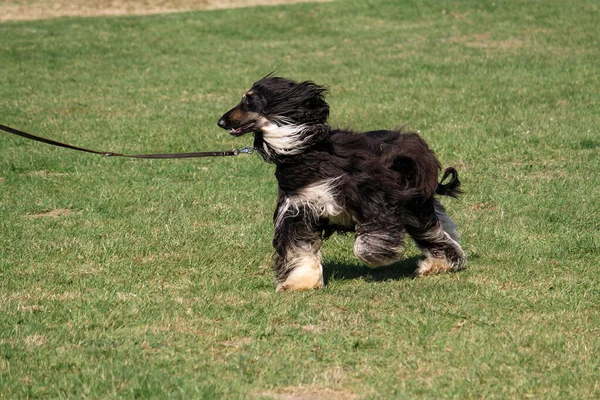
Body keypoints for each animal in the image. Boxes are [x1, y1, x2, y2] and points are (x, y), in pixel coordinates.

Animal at [217, 77, 464, 290]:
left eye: (249, 99)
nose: (220, 122)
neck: (304, 152)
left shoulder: (375, 199)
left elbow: (365, 244)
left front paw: (379, 256)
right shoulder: (298, 207)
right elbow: (298, 247)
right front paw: (300, 283)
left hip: (413, 201)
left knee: (431, 231)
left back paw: (441, 263)